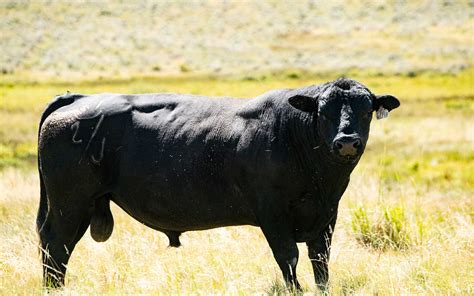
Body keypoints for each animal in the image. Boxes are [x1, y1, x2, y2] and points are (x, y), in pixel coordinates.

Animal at [37, 78, 400, 290]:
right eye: (324, 111)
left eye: (366, 110)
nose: (347, 141)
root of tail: (78, 98)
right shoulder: (273, 216)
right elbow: (289, 260)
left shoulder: (326, 217)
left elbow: (320, 263)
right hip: (70, 204)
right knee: (56, 247)